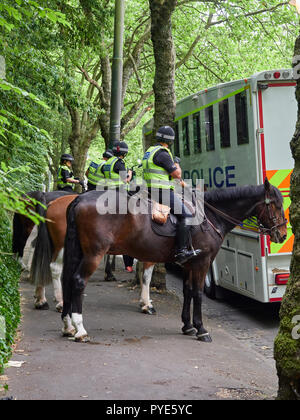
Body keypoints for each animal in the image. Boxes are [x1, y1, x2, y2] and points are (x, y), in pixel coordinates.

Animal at [59, 180, 288, 342]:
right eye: (277, 205)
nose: (283, 235)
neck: (209, 215)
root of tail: (80, 199)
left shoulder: (189, 263)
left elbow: (187, 291)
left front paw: (187, 326)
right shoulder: (202, 262)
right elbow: (198, 293)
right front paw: (201, 329)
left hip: (78, 252)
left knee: (67, 279)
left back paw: (68, 326)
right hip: (93, 254)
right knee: (78, 281)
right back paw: (80, 329)